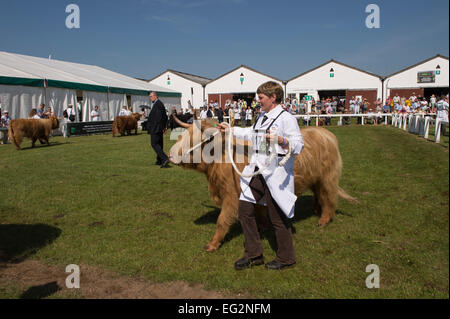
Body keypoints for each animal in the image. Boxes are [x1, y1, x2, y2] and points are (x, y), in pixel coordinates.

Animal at [169, 119, 358, 254]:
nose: (170, 155)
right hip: (316, 178)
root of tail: (327, 133)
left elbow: (222, 220)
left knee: (329, 196)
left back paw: (324, 219)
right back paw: (317, 210)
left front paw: (213, 244)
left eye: (195, 139)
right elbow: (259, 210)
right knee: (319, 193)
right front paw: (263, 227)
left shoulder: (231, 196)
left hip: (328, 177)